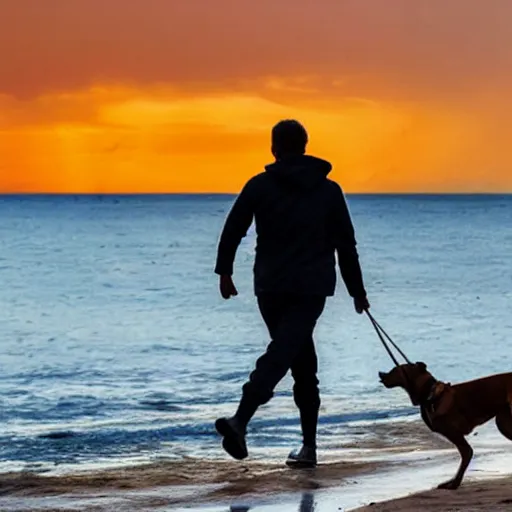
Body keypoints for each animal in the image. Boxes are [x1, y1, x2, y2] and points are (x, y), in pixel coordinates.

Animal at [378, 362, 512, 490]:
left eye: (395, 370)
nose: (380, 374)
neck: (430, 395)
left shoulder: (453, 433)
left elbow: (467, 453)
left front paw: (455, 483)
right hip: (503, 422)